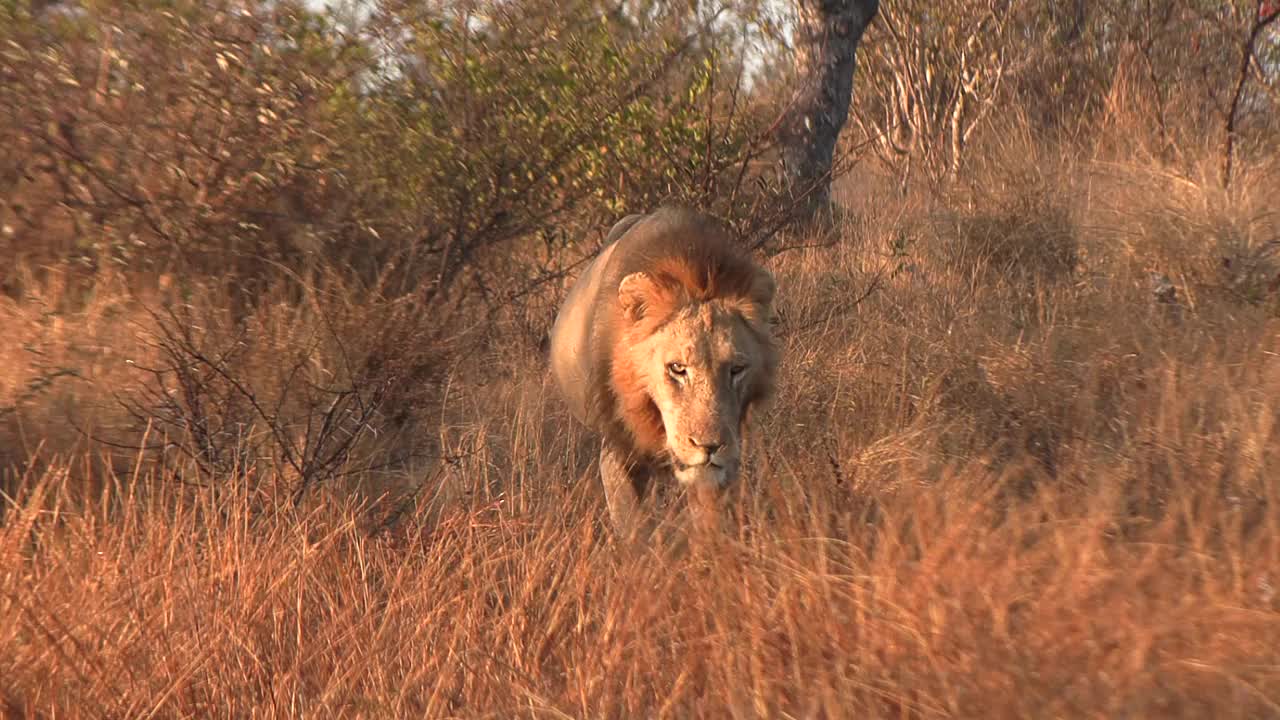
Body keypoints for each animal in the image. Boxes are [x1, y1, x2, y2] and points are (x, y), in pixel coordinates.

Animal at [545, 204, 773, 535]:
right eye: (677, 368)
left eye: (736, 369)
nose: (709, 446)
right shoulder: (617, 452)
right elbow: (633, 529)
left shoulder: (725, 461)